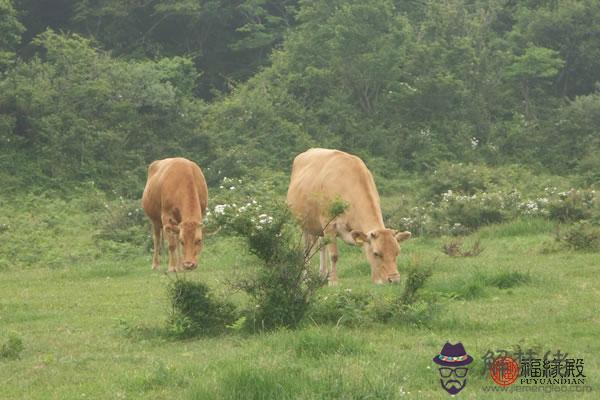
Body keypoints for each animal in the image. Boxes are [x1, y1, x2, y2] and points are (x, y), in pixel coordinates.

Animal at [288, 148, 412, 284]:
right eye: (376, 253)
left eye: (397, 252)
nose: (394, 280)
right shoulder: (329, 224)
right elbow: (334, 255)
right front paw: (333, 281)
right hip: (303, 224)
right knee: (306, 250)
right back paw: (305, 277)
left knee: (321, 247)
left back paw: (322, 274)